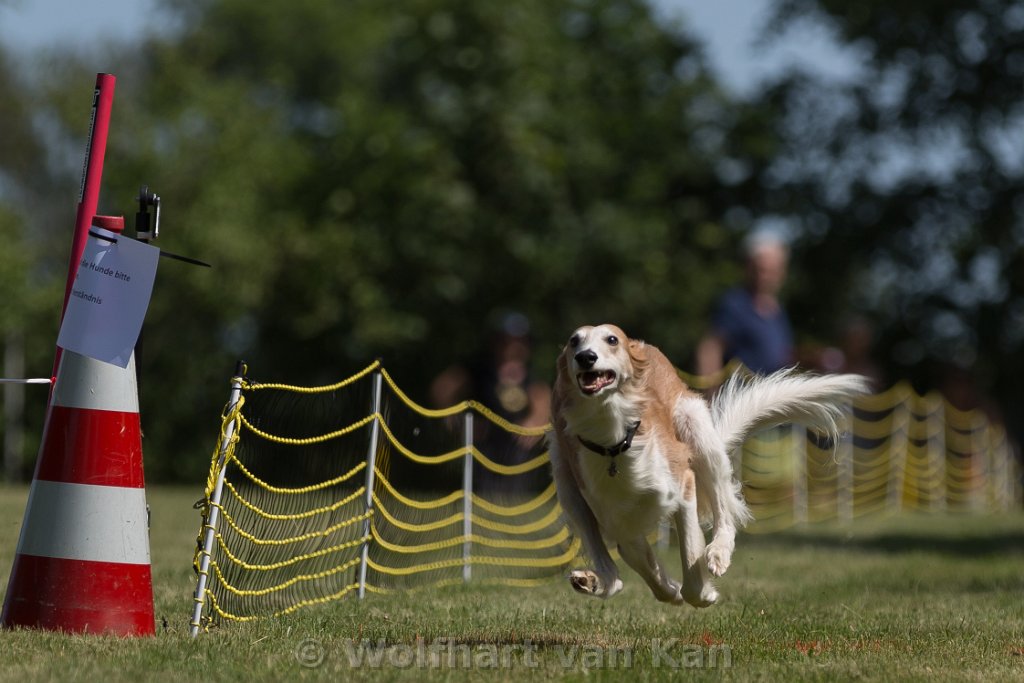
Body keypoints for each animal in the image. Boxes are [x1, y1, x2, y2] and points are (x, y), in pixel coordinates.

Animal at [548, 323, 868, 606]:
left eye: (612, 339)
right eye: (574, 341)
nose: (585, 357)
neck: (615, 443)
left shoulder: (683, 484)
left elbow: (691, 556)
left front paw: (703, 593)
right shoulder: (620, 521)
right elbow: (648, 569)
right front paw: (673, 590)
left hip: (697, 431)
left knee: (725, 514)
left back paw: (718, 553)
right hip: (567, 484)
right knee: (613, 575)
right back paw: (594, 581)